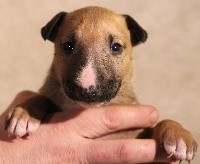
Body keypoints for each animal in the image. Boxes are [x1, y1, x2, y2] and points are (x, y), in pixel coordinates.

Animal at [4, 5, 197, 162]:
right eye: (68, 46)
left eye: (116, 47)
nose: (88, 89)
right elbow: (40, 97)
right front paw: (24, 115)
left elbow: (163, 121)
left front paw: (180, 138)